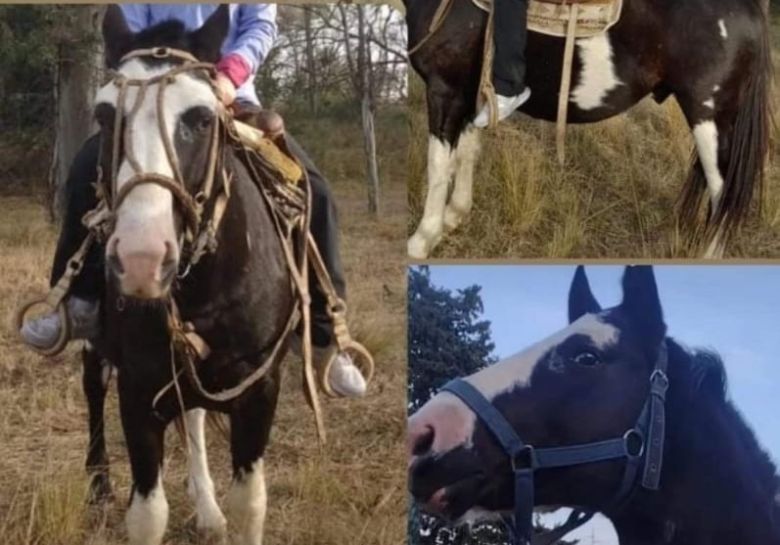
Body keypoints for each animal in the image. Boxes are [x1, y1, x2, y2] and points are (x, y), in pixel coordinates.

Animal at [406, 0, 772, 258]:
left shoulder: (445, 90)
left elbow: (438, 165)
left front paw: (422, 239)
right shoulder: (470, 94)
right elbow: (466, 154)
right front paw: (454, 216)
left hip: (710, 118)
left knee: (724, 195)